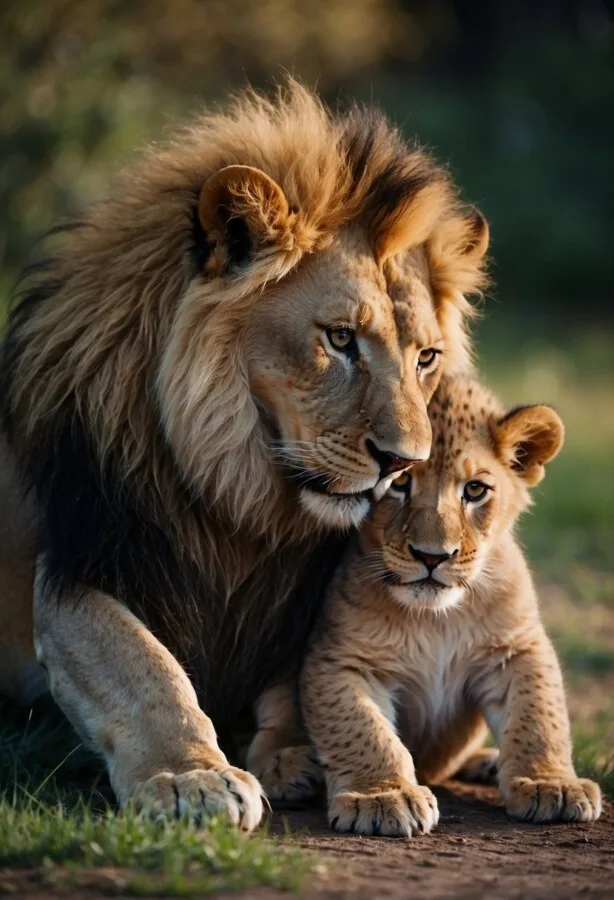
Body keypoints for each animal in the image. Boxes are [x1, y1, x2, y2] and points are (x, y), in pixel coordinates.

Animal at [0, 81, 489, 828]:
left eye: (426, 357)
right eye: (340, 339)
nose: (403, 461)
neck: (241, 495)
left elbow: (298, 683)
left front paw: (302, 756)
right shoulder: (79, 566)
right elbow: (142, 668)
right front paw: (191, 777)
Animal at [249, 374, 602, 835]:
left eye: (475, 490)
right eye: (399, 485)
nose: (433, 557)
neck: (437, 618)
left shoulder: (517, 648)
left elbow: (540, 717)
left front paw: (551, 784)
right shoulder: (340, 659)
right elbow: (365, 731)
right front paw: (383, 796)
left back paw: (487, 762)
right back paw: (287, 769)